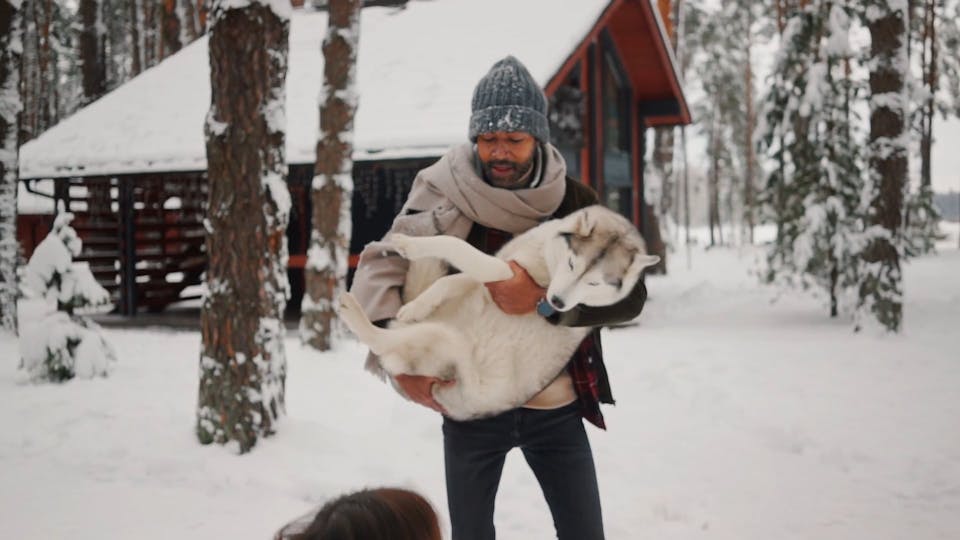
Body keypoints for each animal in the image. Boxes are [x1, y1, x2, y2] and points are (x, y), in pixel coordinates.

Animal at [338, 205, 660, 420]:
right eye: (572, 264)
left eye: (594, 282)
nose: (556, 303)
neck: (544, 265)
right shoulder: (493, 274)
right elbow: (451, 279)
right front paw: (418, 305)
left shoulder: (503, 273)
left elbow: (458, 247)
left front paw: (410, 246)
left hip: (446, 342)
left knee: (380, 340)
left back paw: (353, 312)